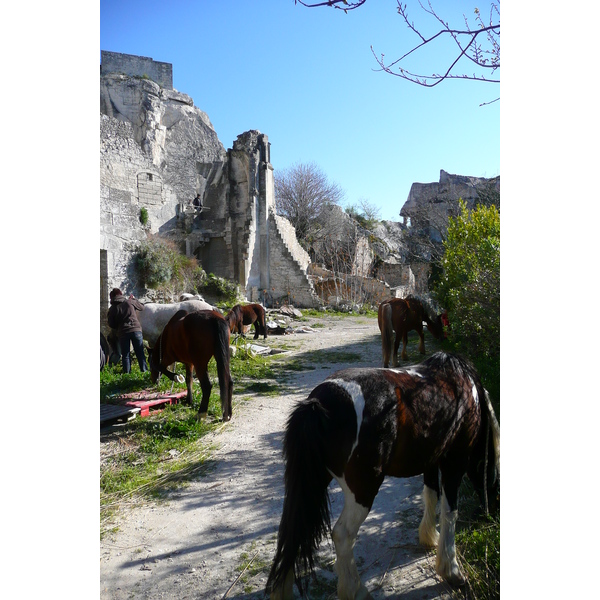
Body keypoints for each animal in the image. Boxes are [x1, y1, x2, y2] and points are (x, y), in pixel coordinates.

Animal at [270, 352, 500, 600]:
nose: (490, 515)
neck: (467, 392)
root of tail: (318, 403)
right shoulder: (454, 462)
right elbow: (450, 512)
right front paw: (451, 570)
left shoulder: (430, 461)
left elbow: (430, 495)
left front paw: (429, 537)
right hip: (363, 490)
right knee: (342, 535)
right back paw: (356, 590)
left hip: (312, 483)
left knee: (293, 531)